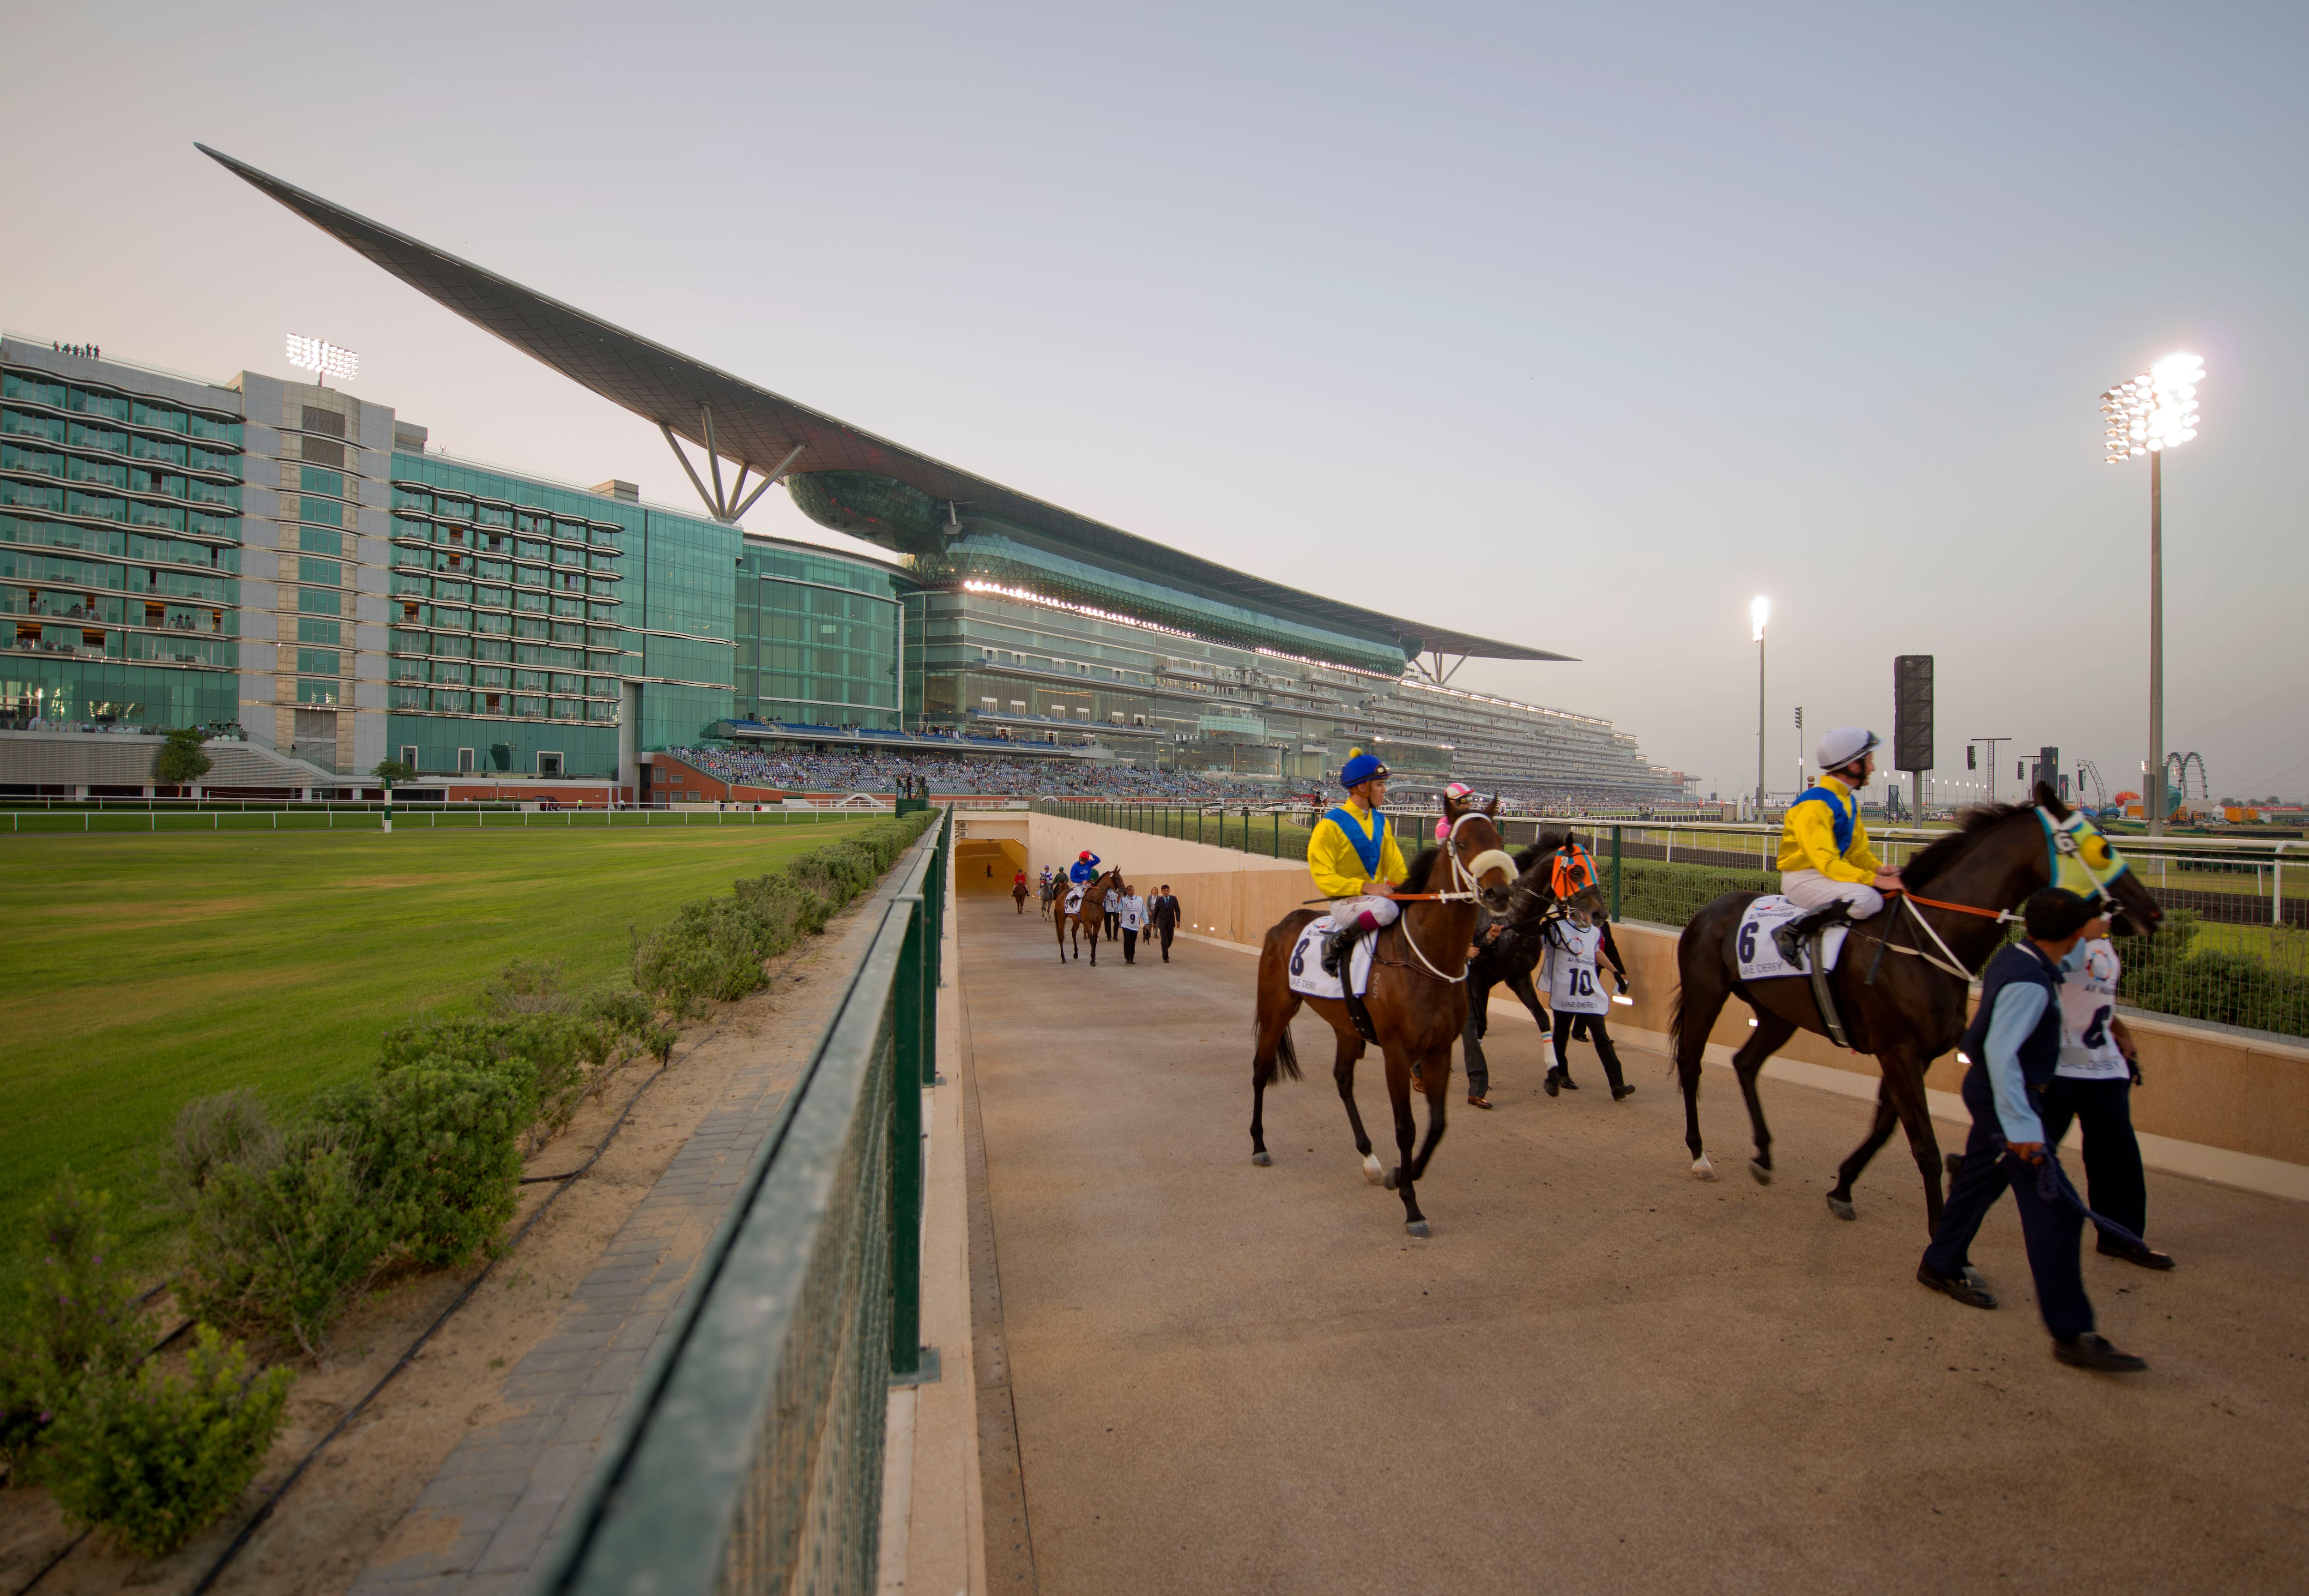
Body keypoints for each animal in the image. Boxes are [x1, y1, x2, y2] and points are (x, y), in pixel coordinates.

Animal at [1058, 868, 1127, 965]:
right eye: (1117, 878)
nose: (1125, 892)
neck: (1094, 901)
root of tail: (1060, 895)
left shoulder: (1097, 924)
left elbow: (1095, 940)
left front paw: (1093, 958)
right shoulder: (1088, 923)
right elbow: (1092, 940)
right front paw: (1093, 960)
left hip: (1076, 920)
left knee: (1073, 933)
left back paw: (1076, 954)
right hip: (1061, 918)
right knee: (1061, 937)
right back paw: (1063, 958)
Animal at [1256, 794, 1524, 1238]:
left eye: (1500, 839)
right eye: (1463, 843)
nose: (1499, 893)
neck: (1424, 958)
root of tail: (1281, 925)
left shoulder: (1438, 1049)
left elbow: (1438, 1124)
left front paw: (1402, 1174)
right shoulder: (1398, 1052)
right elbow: (1406, 1126)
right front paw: (1412, 1206)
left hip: (1347, 1027)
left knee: (1342, 1080)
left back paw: (1370, 1160)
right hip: (1277, 1008)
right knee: (1261, 1070)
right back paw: (1259, 1144)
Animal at [1672, 785, 2152, 1238]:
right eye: (2102, 848)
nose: (2150, 910)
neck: (1926, 940)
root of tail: (1706, 911)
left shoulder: (1916, 1052)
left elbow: (1886, 1126)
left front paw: (1843, 1187)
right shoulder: (1898, 1050)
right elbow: (1925, 1144)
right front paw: (1940, 1230)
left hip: (1777, 1014)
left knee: (1746, 1063)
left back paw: (1764, 1154)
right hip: (1706, 996)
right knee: (1692, 1065)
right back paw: (1698, 1153)